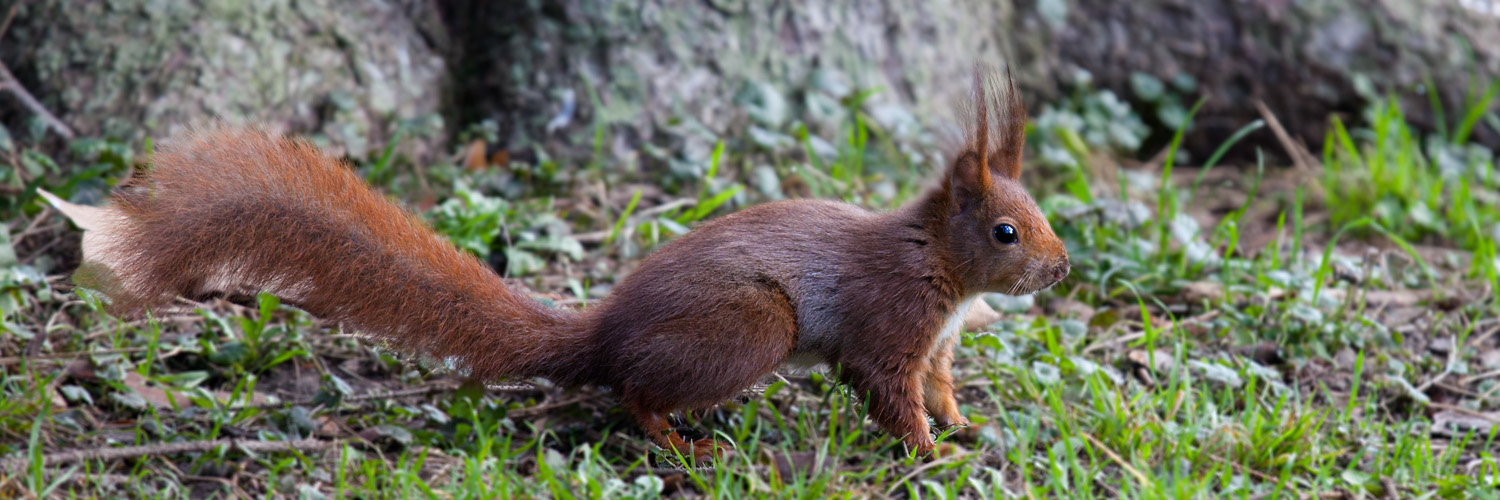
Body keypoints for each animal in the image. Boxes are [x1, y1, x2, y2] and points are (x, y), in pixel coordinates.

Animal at [61, 66, 1068, 459]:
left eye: (1042, 216)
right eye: (1006, 233)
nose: (1060, 272)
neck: (933, 259)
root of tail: (601, 334)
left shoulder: (938, 342)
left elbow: (938, 386)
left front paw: (965, 428)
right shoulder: (888, 324)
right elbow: (890, 395)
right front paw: (928, 454)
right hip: (751, 327)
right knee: (634, 393)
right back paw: (680, 440)